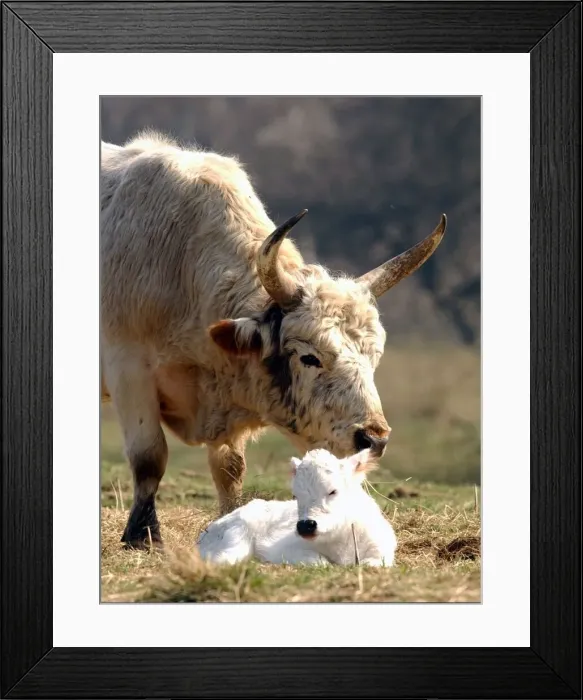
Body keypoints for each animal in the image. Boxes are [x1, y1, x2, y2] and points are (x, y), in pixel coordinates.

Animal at [100, 131, 446, 549]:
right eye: (310, 358)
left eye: (374, 357)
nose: (374, 438)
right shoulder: (128, 371)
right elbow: (149, 456)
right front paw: (142, 535)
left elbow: (229, 468)